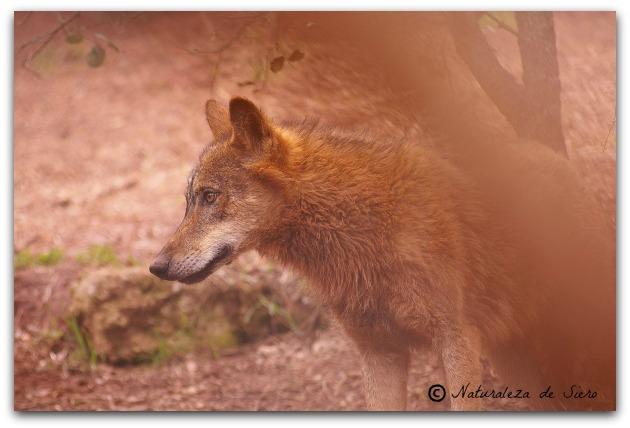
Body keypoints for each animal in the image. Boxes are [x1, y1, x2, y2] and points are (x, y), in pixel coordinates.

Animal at [149, 97, 616, 412]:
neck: (360, 229)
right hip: (515, 362)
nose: (156, 267)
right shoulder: (379, 353)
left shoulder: (455, 339)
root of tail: (559, 159)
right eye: (188, 201)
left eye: (210, 196)